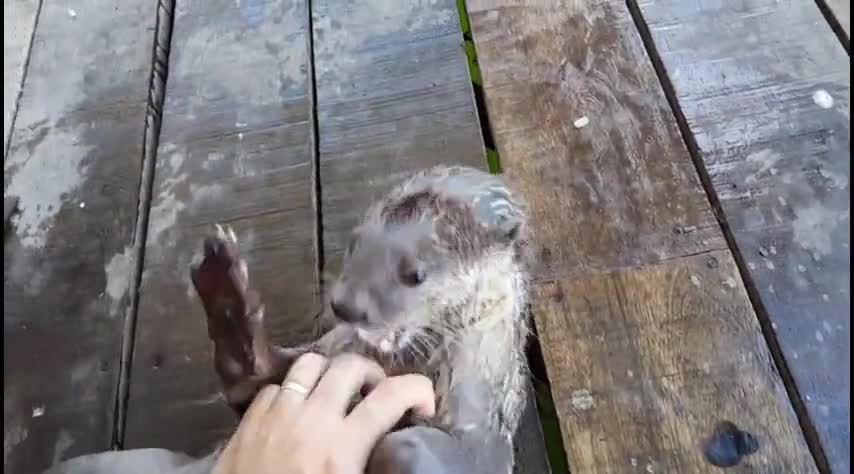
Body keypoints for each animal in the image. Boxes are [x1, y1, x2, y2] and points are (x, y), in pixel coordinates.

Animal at [45, 164, 536, 474]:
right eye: (355, 242)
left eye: (415, 273)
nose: (345, 305)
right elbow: (251, 381)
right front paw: (227, 292)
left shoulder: (482, 436)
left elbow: (410, 446)